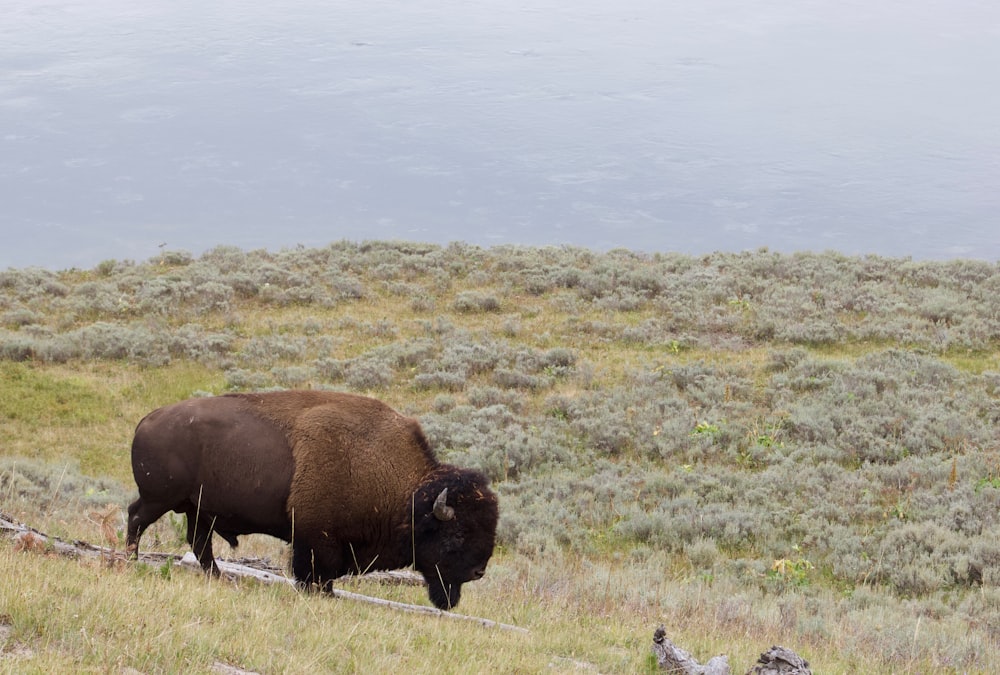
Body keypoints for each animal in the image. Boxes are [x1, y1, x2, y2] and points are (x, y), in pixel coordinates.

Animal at [126, 388, 500, 608]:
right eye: (457, 534)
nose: (478, 571)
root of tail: (147, 419)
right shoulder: (315, 539)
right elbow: (314, 572)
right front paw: (320, 595)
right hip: (159, 499)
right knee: (136, 518)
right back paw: (131, 561)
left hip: (199, 509)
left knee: (198, 542)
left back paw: (218, 578)